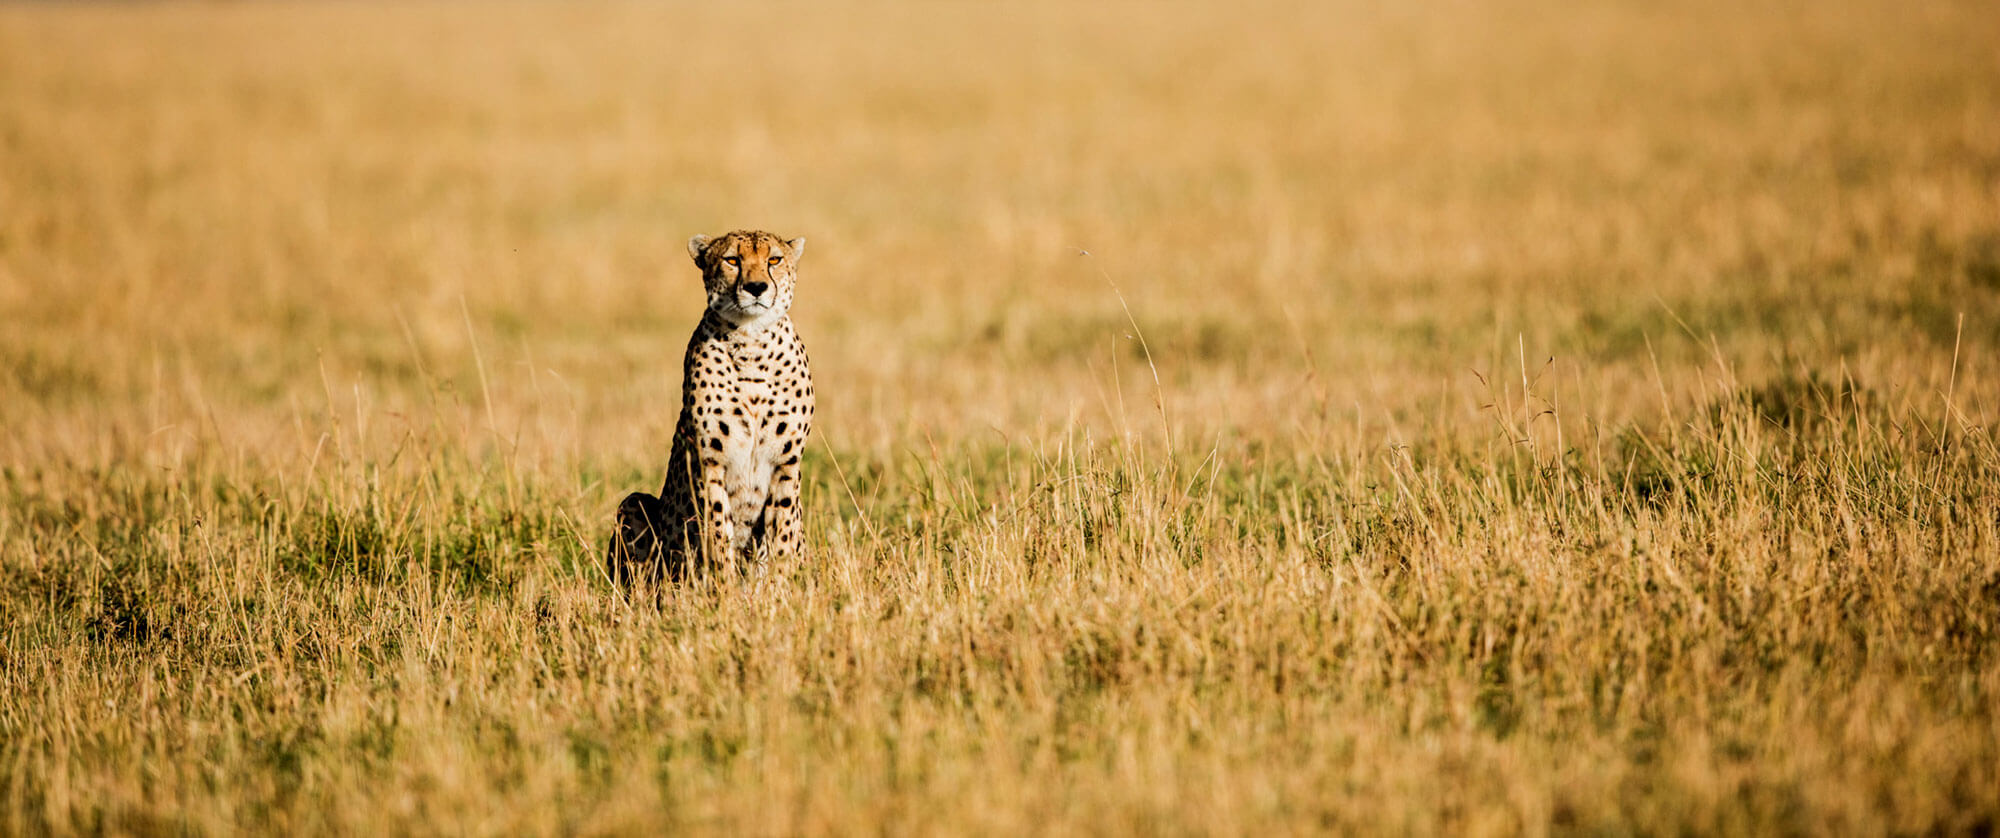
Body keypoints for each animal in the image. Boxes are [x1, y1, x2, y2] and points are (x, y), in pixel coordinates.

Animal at [616, 230, 820, 584]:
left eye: (774, 259)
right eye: (732, 260)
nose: (756, 287)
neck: (753, 342)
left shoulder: (786, 463)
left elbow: (781, 534)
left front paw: (780, 589)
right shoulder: (710, 463)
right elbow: (718, 533)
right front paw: (723, 590)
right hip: (634, 504)